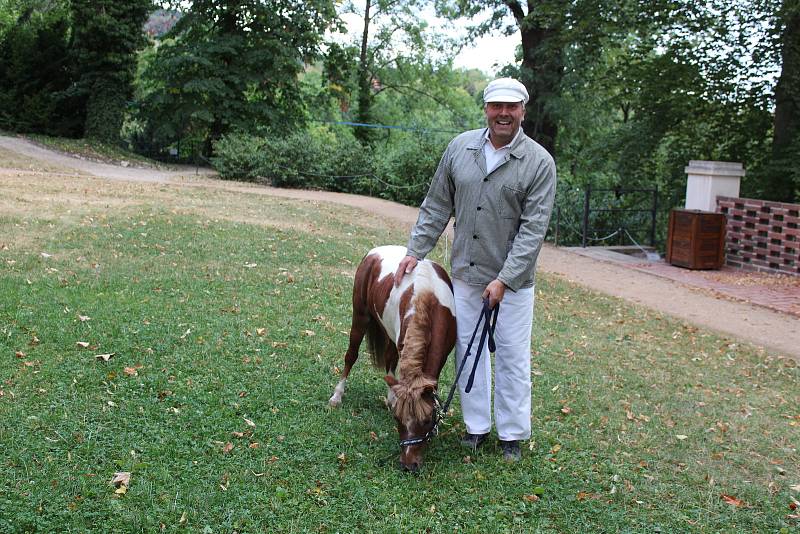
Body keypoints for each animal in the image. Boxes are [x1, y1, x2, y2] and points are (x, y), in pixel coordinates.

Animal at [328, 247, 456, 474]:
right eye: (398, 420)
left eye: (426, 420)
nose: (408, 465)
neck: (428, 298)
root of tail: (375, 252)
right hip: (360, 316)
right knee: (351, 356)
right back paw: (337, 395)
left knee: (389, 362)